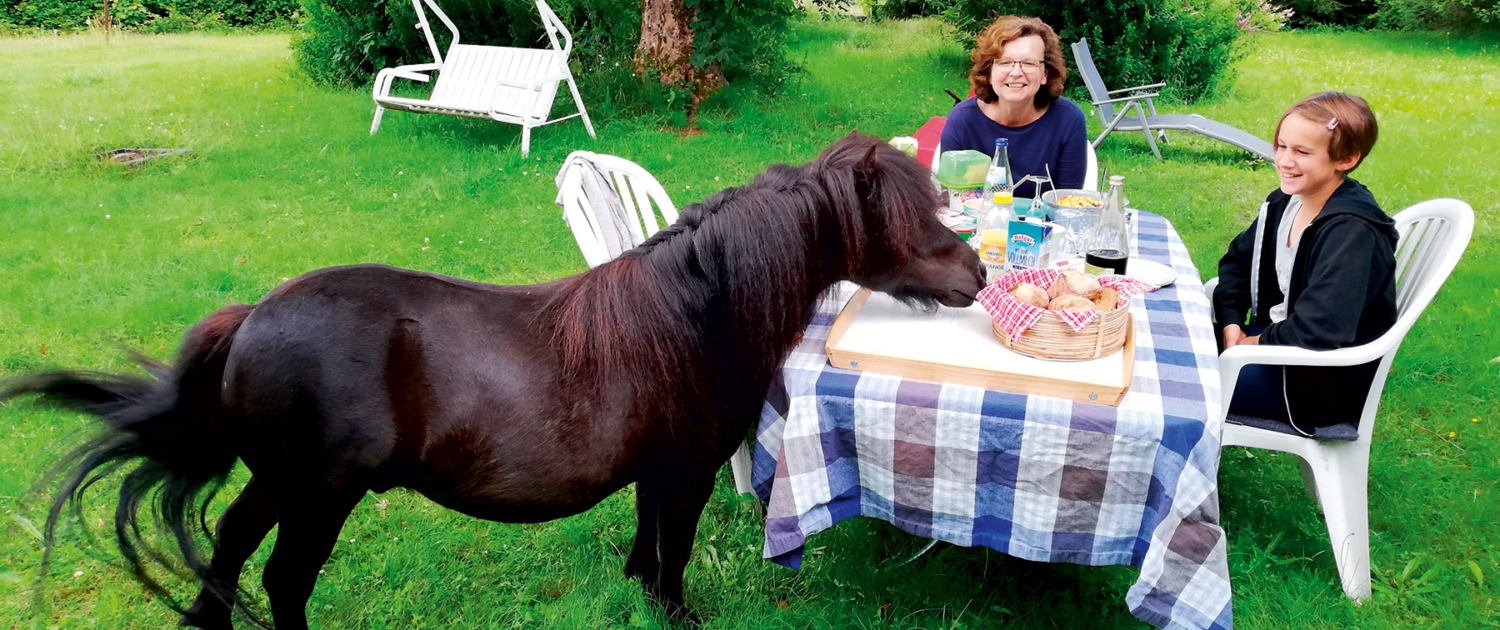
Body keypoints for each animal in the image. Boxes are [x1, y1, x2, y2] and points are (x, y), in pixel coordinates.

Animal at [2, 132, 984, 624]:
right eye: (908, 218)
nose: (976, 275)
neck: (694, 316)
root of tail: (252, 318)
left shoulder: (656, 472)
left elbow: (643, 542)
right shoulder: (687, 472)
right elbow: (671, 554)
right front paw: (675, 614)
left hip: (279, 483)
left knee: (229, 549)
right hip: (319, 494)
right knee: (280, 581)